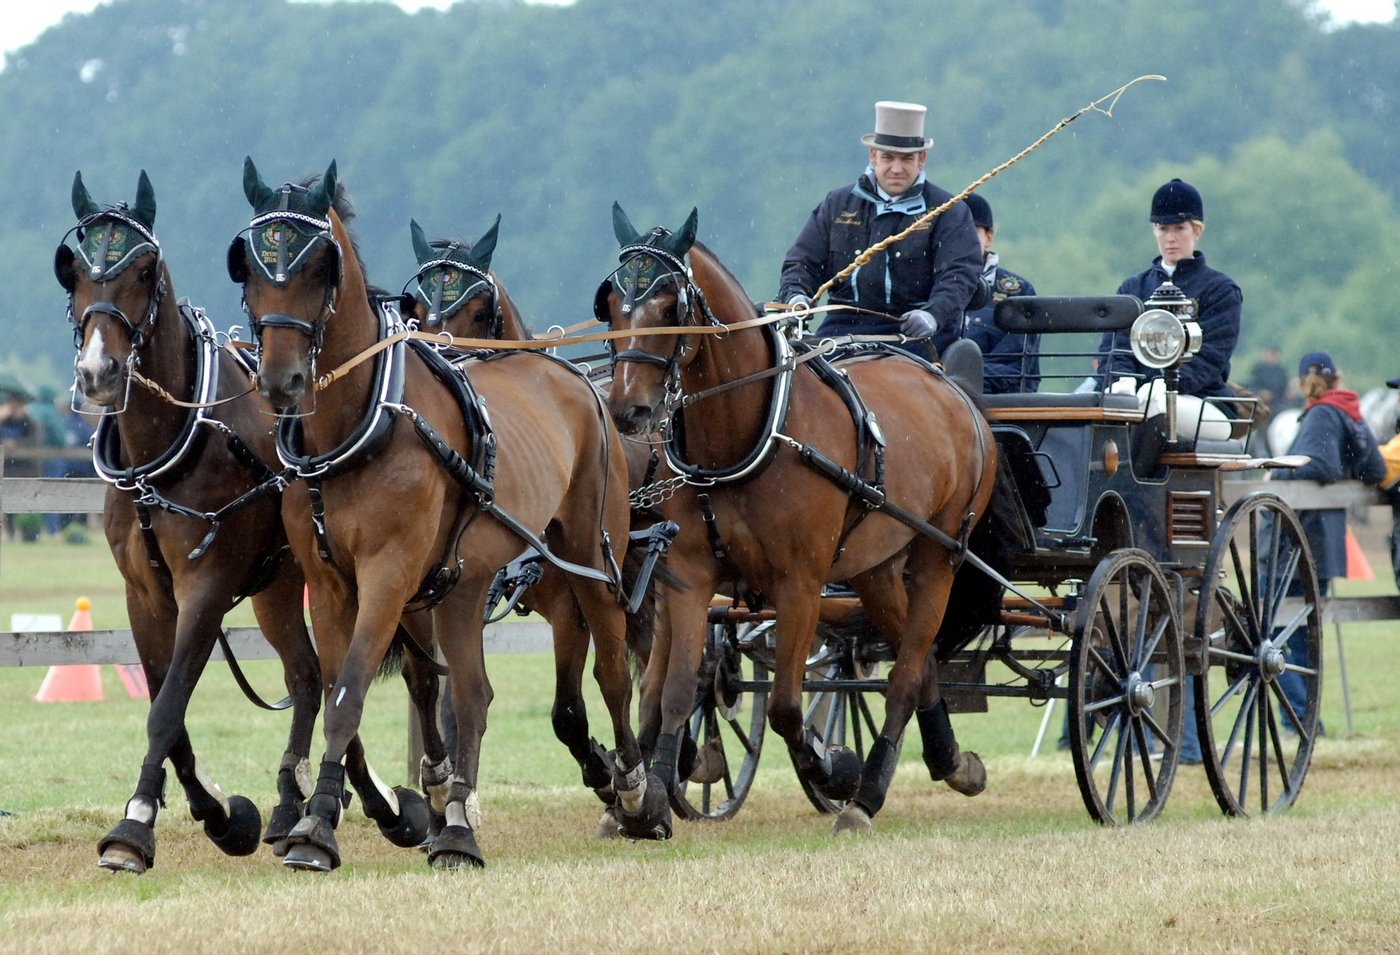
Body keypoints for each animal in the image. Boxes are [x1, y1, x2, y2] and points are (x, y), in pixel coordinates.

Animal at [54, 171, 321, 874]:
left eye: (145, 269)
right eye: (73, 271)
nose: (98, 372)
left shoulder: (206, 588)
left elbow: (168, 705)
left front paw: (135, 827)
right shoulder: (146, 595)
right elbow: (164, 711)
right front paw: (221, 816)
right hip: (280, 589)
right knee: (310, 677)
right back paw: (299, 806)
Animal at [230, 159, 670, 870]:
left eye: (321, 266)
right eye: (247, 267)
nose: (282, 379)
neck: (357, 428)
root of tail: (583, 384)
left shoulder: (388, 574)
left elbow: (350, 691)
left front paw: (317, 827)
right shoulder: (331, 584)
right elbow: (341, 690)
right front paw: (340, 811)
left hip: (589, 557)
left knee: (609, 673)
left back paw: (634, 796)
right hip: (462, 584)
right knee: (471, 693)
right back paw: (457, 825)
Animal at [599, 204, 1005, 834]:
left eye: (670, 305)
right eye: (614, 305)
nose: (627, 409)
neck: (747, 433)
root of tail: (954, 389)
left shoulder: (800, 585)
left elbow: (788, 707)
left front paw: (833, 769)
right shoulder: (688, 580)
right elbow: (675, 691)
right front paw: (652, 801)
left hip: (939, 558)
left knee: (905, 674)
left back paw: (865, 796)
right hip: (874, 567)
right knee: (915, 666)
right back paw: (950, 762)